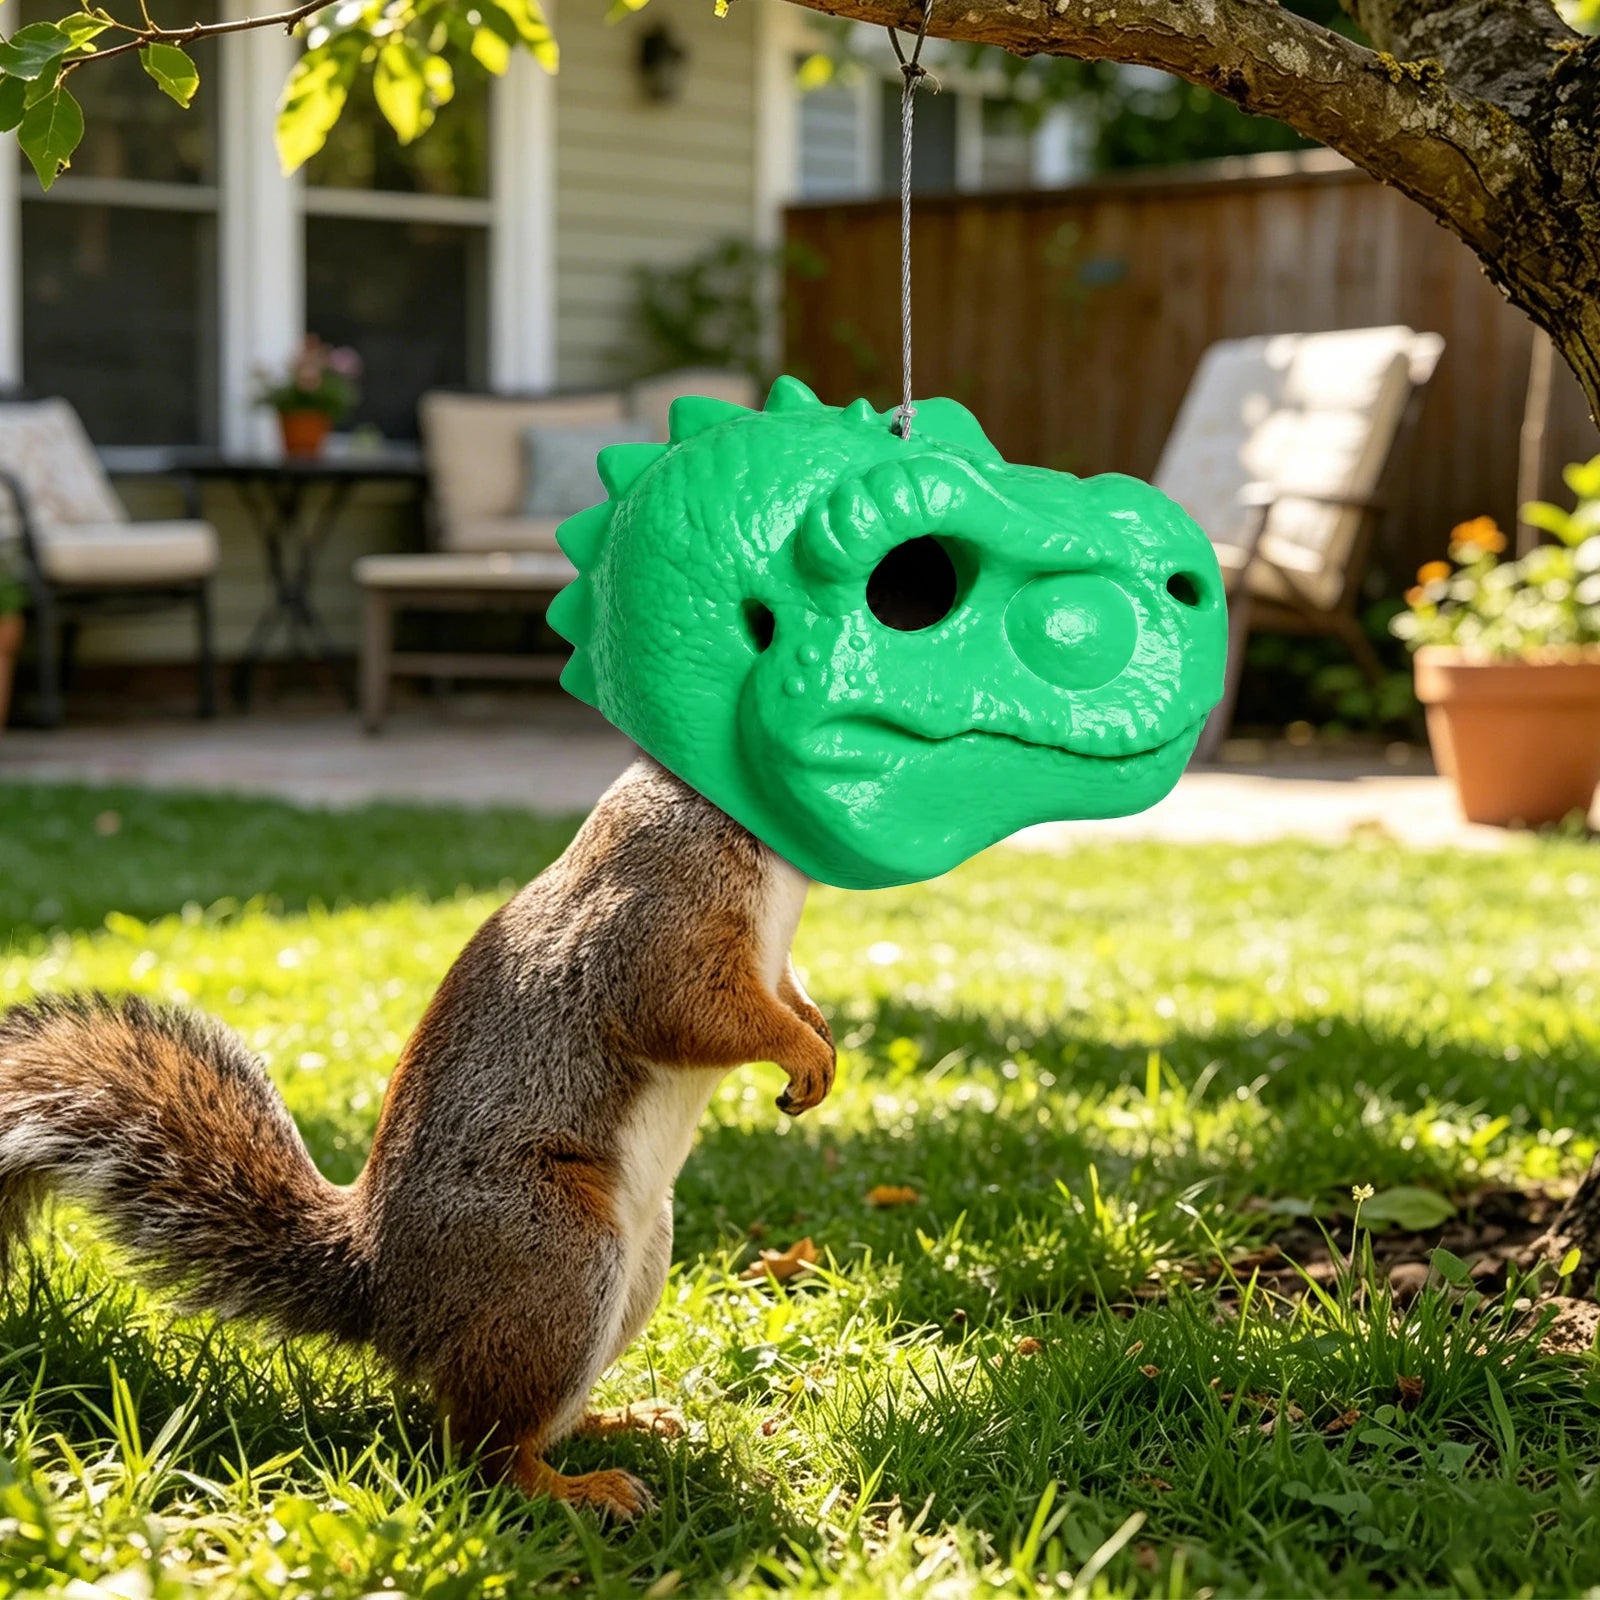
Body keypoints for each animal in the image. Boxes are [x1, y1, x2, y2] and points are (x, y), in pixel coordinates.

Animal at [0, 756, 836, 1518]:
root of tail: (385, 1288)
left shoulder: (763, 959)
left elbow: (786, 991)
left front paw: (819, 1036)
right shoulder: (655, 924)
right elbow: (695, 1009)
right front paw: (804, 1051)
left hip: (634, 1256)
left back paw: (619, 1422)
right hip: (555, 1259)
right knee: (479, 1451)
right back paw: (578, 1489)